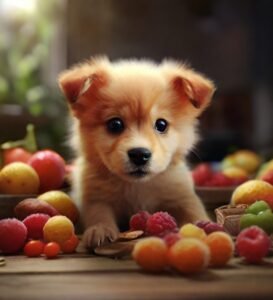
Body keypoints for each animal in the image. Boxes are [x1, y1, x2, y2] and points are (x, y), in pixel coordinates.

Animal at [58, 56, 215, 248]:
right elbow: (98, 213)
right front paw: (100, 229)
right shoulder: (93, 197)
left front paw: (204, 226)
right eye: (115, 124)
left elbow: (194, 211)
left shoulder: (182, 195)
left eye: (161, 124)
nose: (140, 154)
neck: (136, 187)